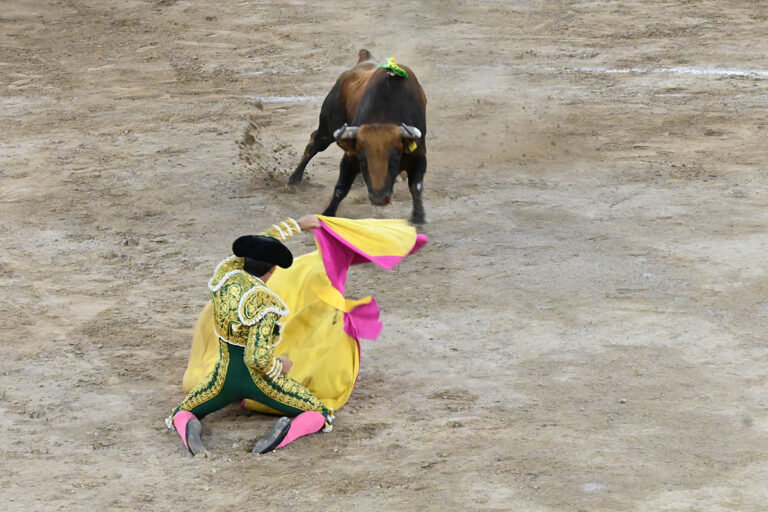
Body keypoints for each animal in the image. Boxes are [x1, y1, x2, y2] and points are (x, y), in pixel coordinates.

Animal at [290, 49, 432, 224]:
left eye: (394, 161)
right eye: (363, 161)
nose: (379, 199)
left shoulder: (419, 154)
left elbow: (416, 186)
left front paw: (418, 216)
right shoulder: (351, 155)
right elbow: (341, 187)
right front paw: (327, 214)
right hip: (328, 129)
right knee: (313, 144)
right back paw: (294, 180)